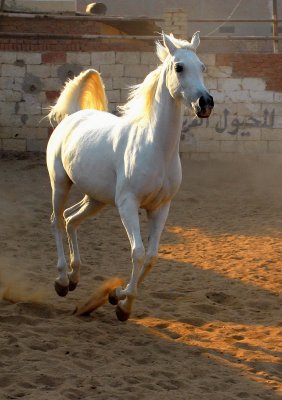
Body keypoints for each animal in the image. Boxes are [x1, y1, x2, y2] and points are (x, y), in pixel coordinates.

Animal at [46, 32, 214, 322]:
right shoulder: (128, 204)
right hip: (60, 183)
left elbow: (151, 256)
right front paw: (121, 302)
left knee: (70, 219)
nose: (205, 103)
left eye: (202, 67)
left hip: (96, 199)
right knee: (57, 220)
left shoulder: (160, 208)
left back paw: (75, 277)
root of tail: (74, 116)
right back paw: (62, 281)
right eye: (179, 67)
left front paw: (118, 299)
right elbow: (137, 253)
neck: (155, 147)